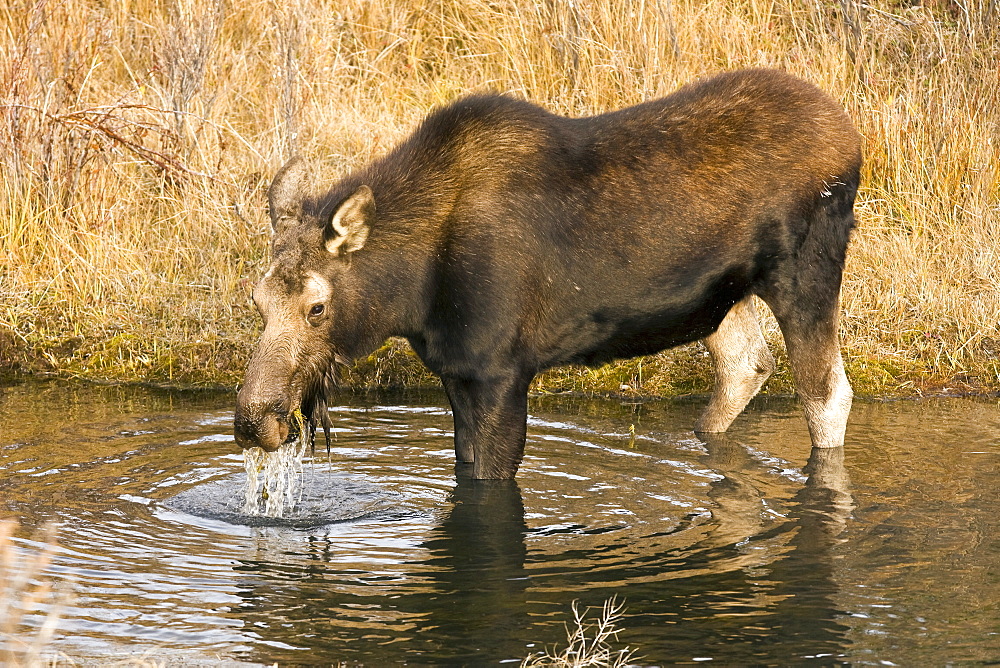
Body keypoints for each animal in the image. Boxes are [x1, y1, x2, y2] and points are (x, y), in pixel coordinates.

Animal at [234, 70, 860, 480]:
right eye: (258, 301)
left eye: (317, 307)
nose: (253, 422)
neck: (411, 295)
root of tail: (852, 137)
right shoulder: (456, 372)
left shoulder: (502, 373)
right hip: (723, 296)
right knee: (746, 365)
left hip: (806, 269)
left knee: (827, 395)